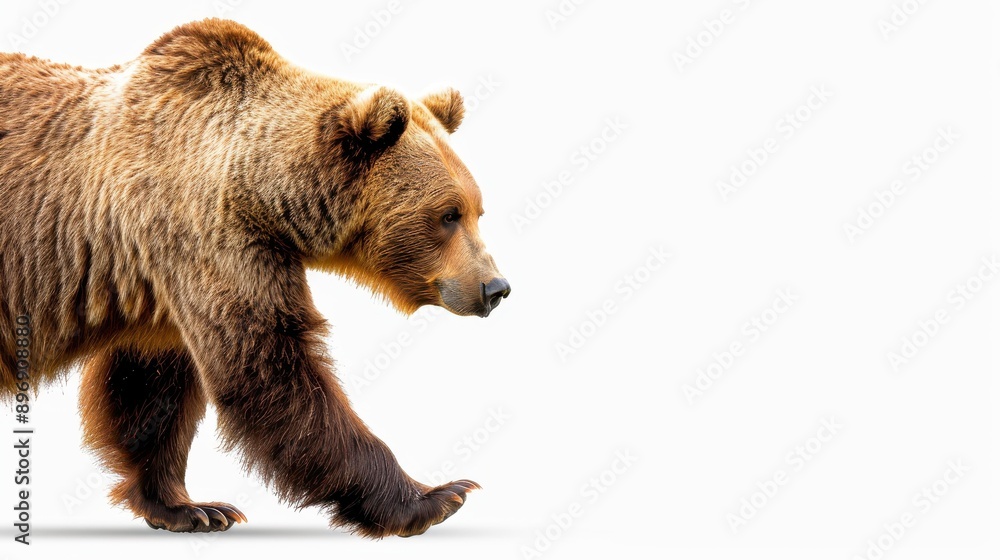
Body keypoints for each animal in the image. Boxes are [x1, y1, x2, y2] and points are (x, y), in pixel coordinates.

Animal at [0, 19, 510, 537]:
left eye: (478, 211)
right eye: (447, 214)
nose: (495, 288)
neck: (266, 193)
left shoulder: (159, 279)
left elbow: (150, 389)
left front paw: (190, 507)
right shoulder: (209, 235)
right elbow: (268, 367)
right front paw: (435, 497)